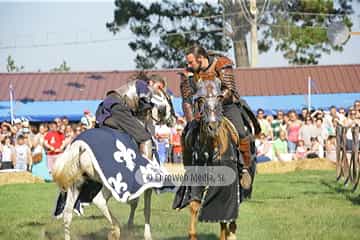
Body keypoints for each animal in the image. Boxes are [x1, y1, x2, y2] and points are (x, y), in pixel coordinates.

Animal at [52, 89, 176, 240]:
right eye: (169, 101)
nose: (173, 120)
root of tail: (80, 146)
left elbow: (135, 203)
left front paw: (131, 226)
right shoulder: (145, 184)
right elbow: (145, 208)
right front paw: (144, 233)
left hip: (76, 185)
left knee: (67, 214)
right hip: (109, 184)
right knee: (99, 200)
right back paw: (115, 229)